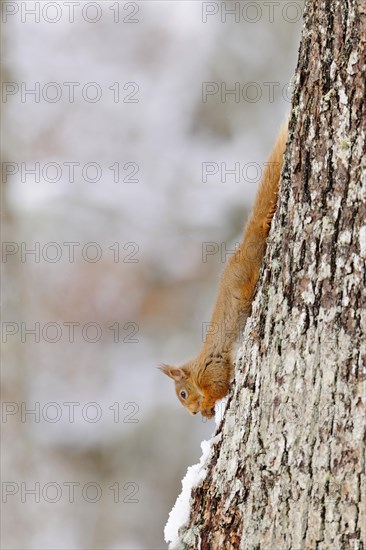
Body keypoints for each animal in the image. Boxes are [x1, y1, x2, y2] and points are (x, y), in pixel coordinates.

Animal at [160, 124, 288, 418]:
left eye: (183, 394)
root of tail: (244, 243)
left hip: (246, 272)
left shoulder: (213, 366)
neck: (196, 369)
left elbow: (218, 386)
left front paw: (208, 404)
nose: (193, 414)